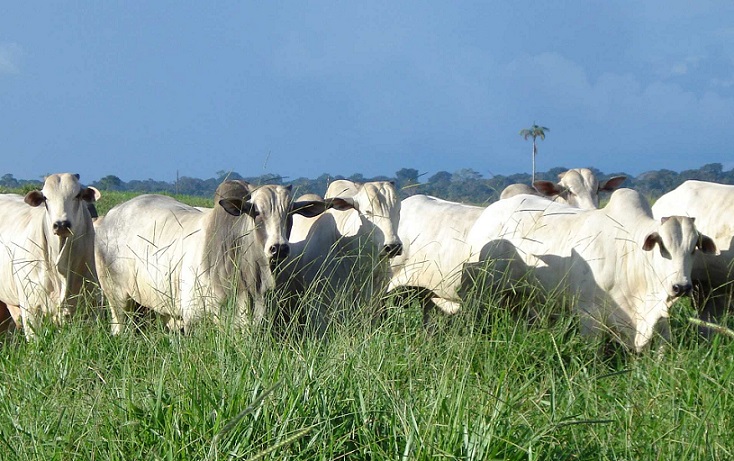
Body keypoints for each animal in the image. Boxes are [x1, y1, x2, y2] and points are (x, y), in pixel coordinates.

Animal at [95, 178, 330, 332]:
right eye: (256, 212)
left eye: (291, 213)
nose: (279, 248)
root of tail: (110, 215)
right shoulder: (192, 320)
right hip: (117, 301)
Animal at [468, 189, 716, 350]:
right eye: (663, 246)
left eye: (694, 247)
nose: (681, 287)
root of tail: (488, 214)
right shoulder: (588, 314)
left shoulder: (657, 313)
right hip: (484, 292)